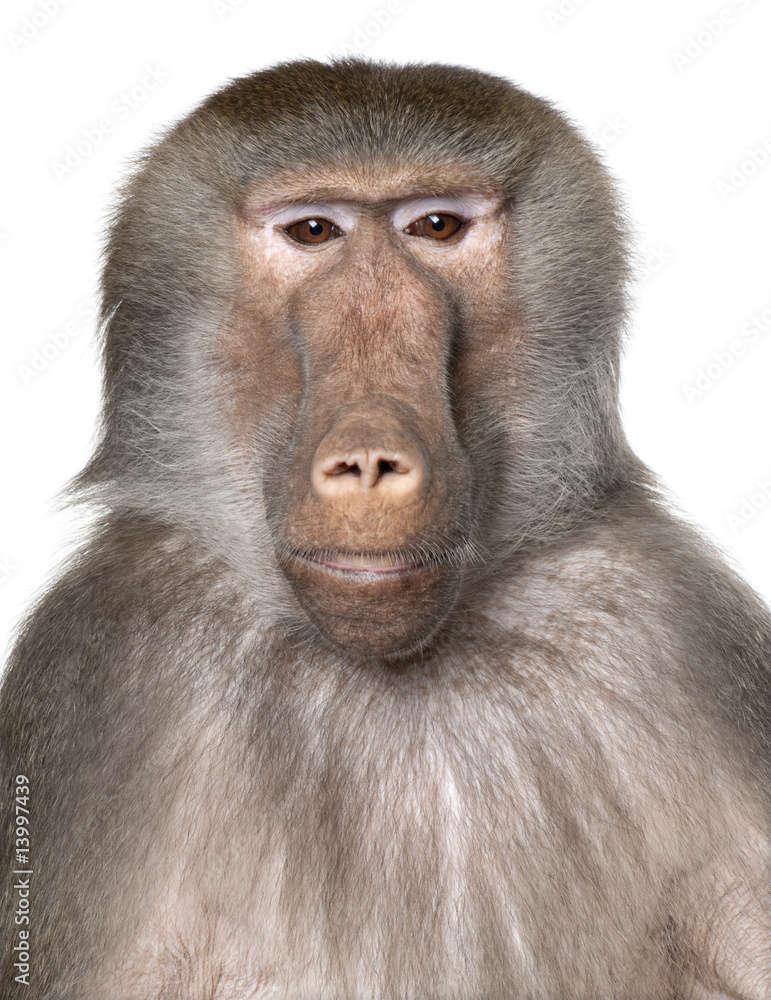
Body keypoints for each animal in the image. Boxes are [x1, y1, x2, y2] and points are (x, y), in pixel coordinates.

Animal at [1, 58, 770, 1000]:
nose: (370, 459)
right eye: (313, 231)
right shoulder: (118, 654)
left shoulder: (663, 623)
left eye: (435, 227)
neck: (397, 671)